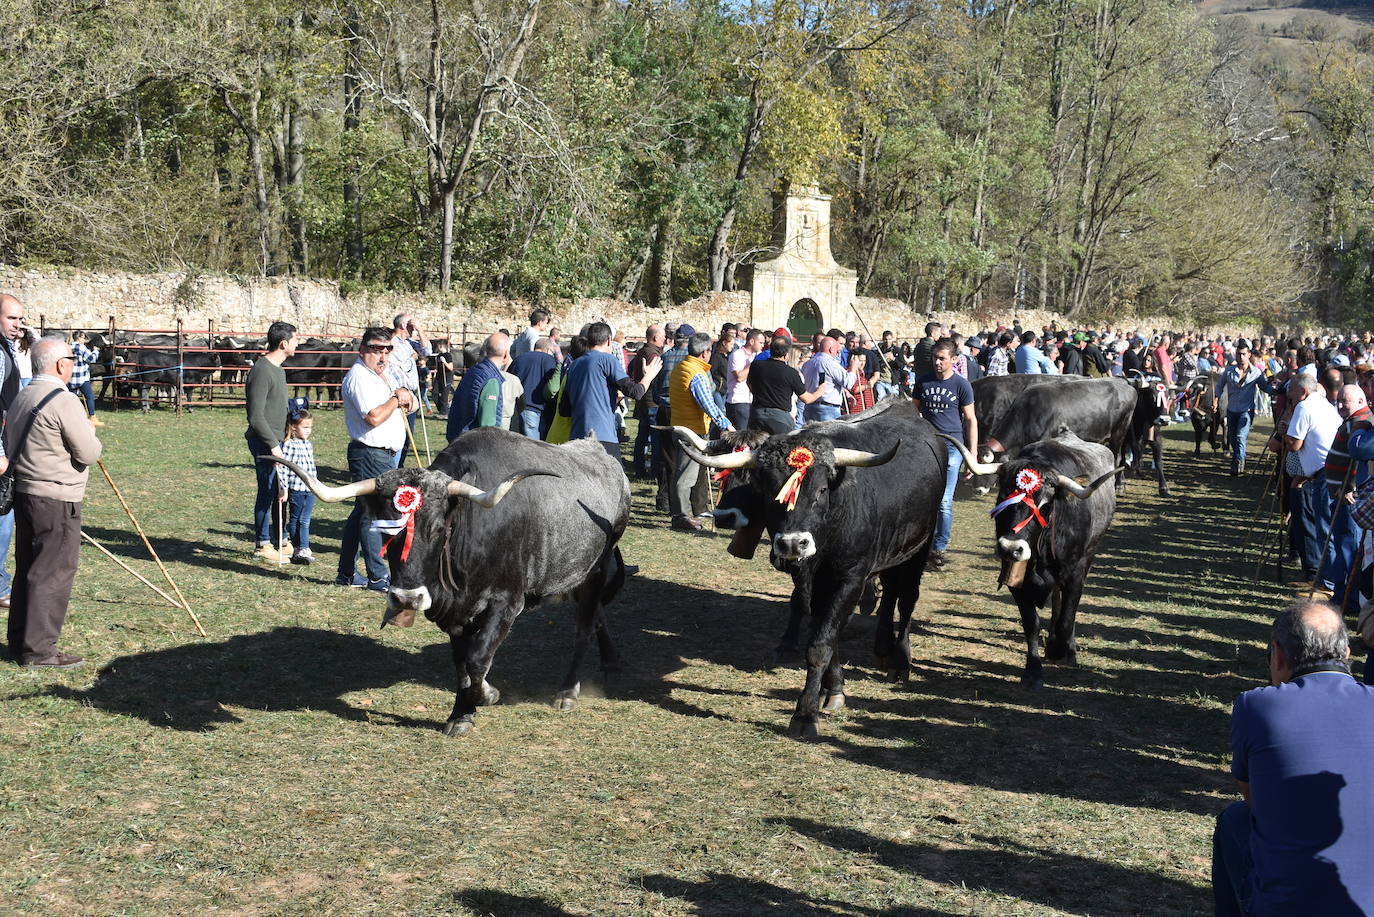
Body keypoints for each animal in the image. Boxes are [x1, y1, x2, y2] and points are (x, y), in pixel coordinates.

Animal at [266, 426, 629, 736]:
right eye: (386, 530)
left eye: (440, 530)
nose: (406, 599)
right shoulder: (455, 614)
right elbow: (461, 664)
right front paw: (462, 713)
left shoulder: (507, 602)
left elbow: (478, 658)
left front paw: (486, 695)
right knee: (596, 618)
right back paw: (610, 658)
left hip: (596, 571)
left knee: (584, 628)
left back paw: (568, 691)